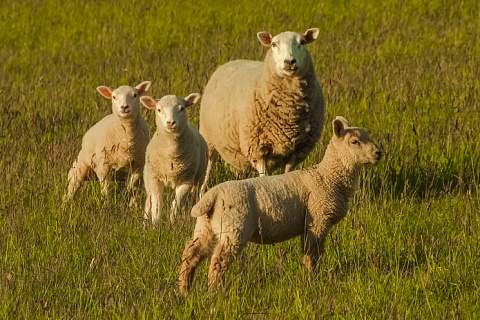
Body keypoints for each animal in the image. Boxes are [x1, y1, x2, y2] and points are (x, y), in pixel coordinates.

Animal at [139, 92, 206, 224]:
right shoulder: (155, 179)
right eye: (159, 110)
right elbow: (157, 204)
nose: (170, 123)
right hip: (147, 178)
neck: (171, 153)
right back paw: (145, 222)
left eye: (182, 108)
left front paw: (172, 221)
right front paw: (155, 223)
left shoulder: (186, 180)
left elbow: (176, 203)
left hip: (200, 178)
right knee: (149, 202)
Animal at [179, 116, 382, 294]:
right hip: (234, 228)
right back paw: (215, 292)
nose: (378, 153)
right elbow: (313, 254)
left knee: (191, 255)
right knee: (218, 261)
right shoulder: (318, 221)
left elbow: (308, 253)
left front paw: (309, 278)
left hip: (207, 227)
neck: (328, 177)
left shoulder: (310, 224)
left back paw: (185, 291)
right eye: (355, 142)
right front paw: (313, 279)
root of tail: (212, 196)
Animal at [197, 27, 324, 194]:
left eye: (302, 42)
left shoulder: (295, 153)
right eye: (274, 44)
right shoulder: (258, 150)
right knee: (207, 170)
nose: (289, 62)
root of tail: (233, 61)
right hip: (208, 138)